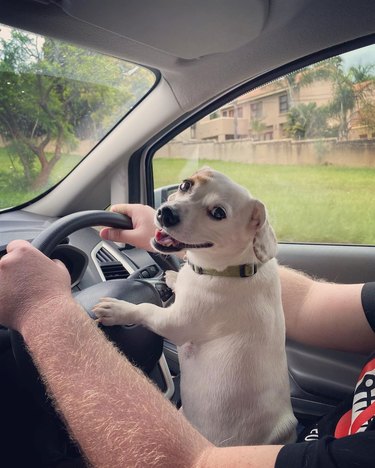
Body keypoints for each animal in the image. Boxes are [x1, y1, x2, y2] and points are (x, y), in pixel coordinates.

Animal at [93, 168, 296, 446]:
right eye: (185, 185)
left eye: (218, 213)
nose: (165, 212)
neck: (233, 269)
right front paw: (173, 277)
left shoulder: (174, 322)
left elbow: (145, 309)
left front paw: (117, 310)